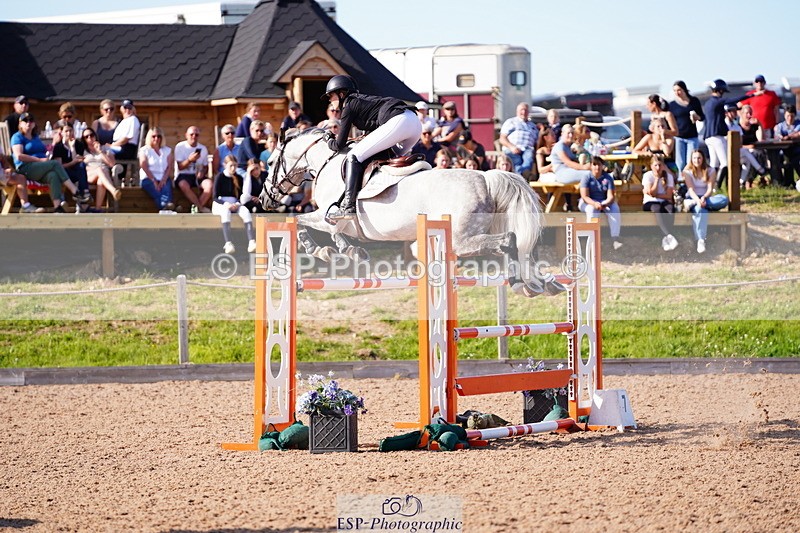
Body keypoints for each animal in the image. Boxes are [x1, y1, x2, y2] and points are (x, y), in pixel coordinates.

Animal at [259, 128, 564, 296]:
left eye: (272, 162)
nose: (263, 199)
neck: (328, 162)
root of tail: (486, 178)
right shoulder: (334, 221)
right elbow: (331, 233)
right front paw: (350, 251)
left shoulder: (327, 216)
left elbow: (300, 222)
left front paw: (325, 250)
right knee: (523, 247)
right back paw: (543, 284)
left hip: (461, 239)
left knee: (509, 241)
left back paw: (521, 284)